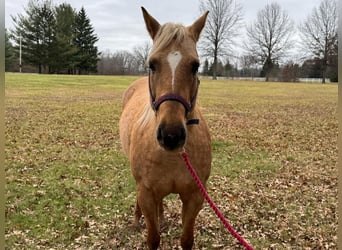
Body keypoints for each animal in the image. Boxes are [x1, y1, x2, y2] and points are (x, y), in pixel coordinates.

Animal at [119, 6, 211, 249]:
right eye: (152, 64)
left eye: (195, 66)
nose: (171, 135)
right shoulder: (146, 192)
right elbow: (153, 239)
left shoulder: (194, 197)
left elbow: (187, 240)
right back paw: (136, 219)